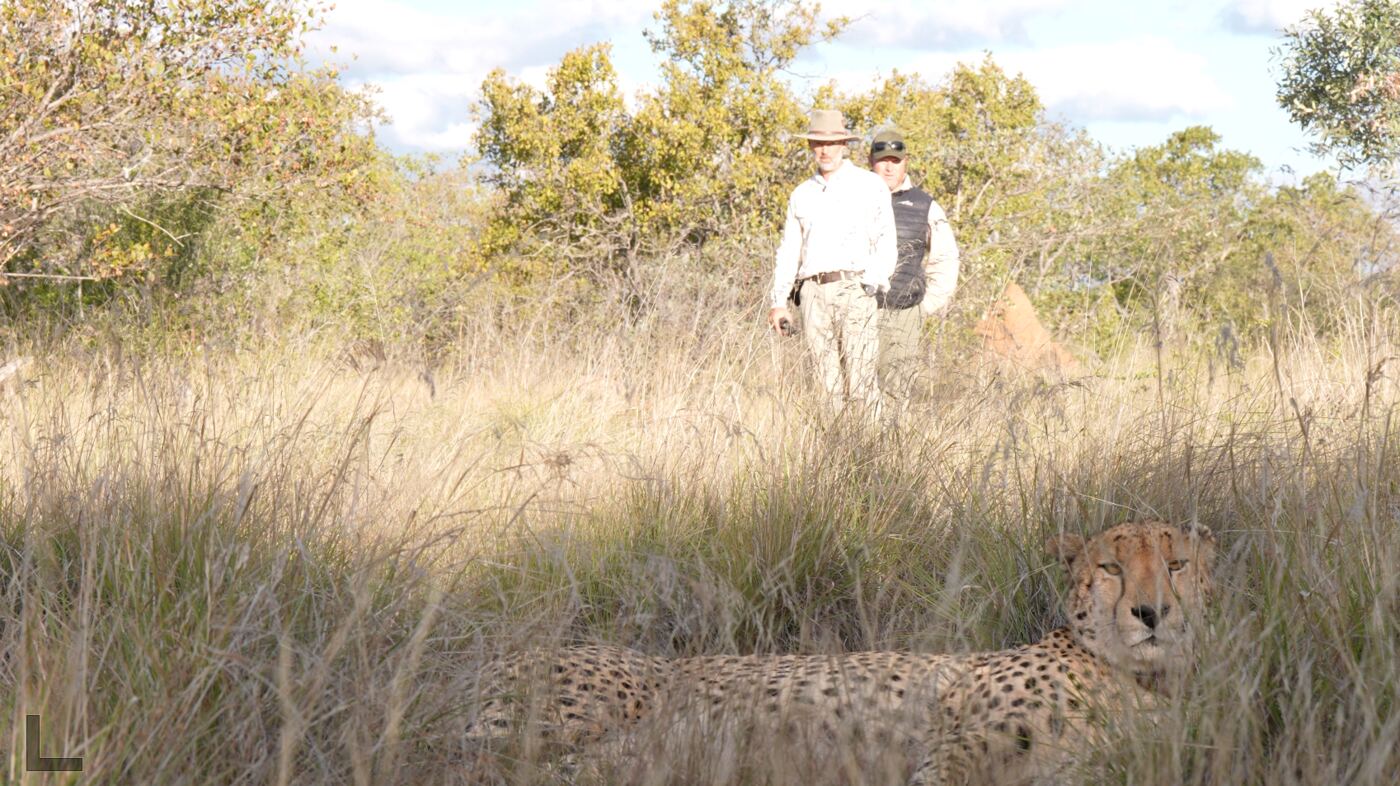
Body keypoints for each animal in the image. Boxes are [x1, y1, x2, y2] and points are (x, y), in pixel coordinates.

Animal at [466, 519, 1218, 785]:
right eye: (1112, 568)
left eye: (1176, 564)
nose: (1152, 613)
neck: (1142, 680)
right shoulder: (951, 740)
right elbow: (938, 776)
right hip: (568, 720)